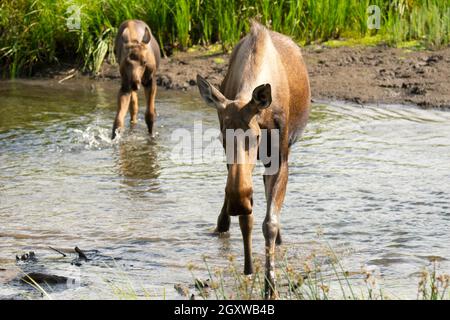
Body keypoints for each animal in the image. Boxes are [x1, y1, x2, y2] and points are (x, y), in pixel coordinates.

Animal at [197, 21, 310, 298]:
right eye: (221, 137)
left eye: (255, 136)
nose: (238, 203)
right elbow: (247, 217)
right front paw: (248, 271)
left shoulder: (279, 158)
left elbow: (269, 223)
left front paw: (270, 286)